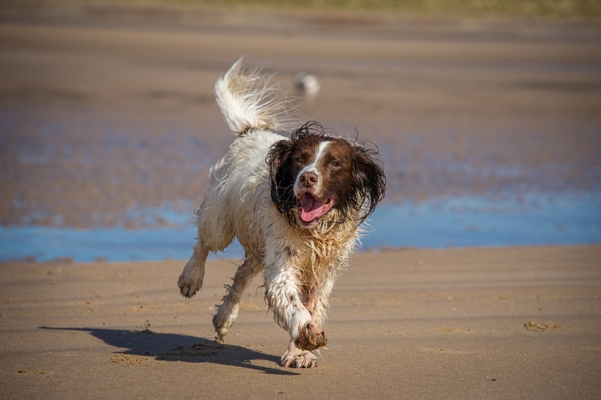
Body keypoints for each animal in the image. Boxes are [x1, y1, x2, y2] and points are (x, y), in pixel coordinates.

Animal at [178, 57, 384, 368]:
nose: (308, 178)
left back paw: (224, 319)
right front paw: (304, 334)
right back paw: (191, 279)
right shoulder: (283, 264)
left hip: (259, 246)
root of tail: (250, 131)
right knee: (203, 242)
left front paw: (300, 351)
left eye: (335, 163)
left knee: (241, 274)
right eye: (299, 159)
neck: (315, 231)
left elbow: (314, 306)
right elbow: (292, 303)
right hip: (220, 220)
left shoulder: (322, 271)